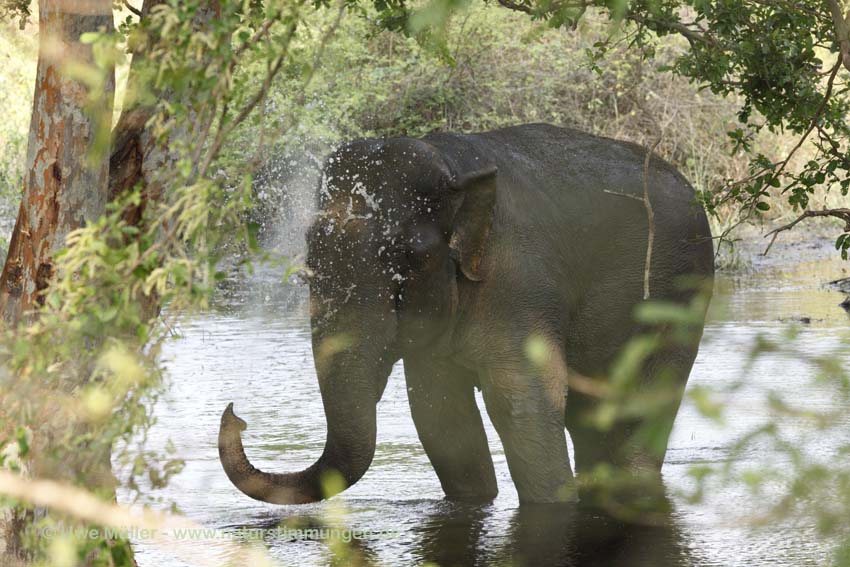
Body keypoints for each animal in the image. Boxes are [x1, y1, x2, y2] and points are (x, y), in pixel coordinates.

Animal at [215, 123, 712, 506]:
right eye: (308, 264)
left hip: (682, 294)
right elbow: (438, 412)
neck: (450, 164)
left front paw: (554, 503)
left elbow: (522, 400)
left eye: (411, 258)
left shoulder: (521, 286)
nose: (236, 414)